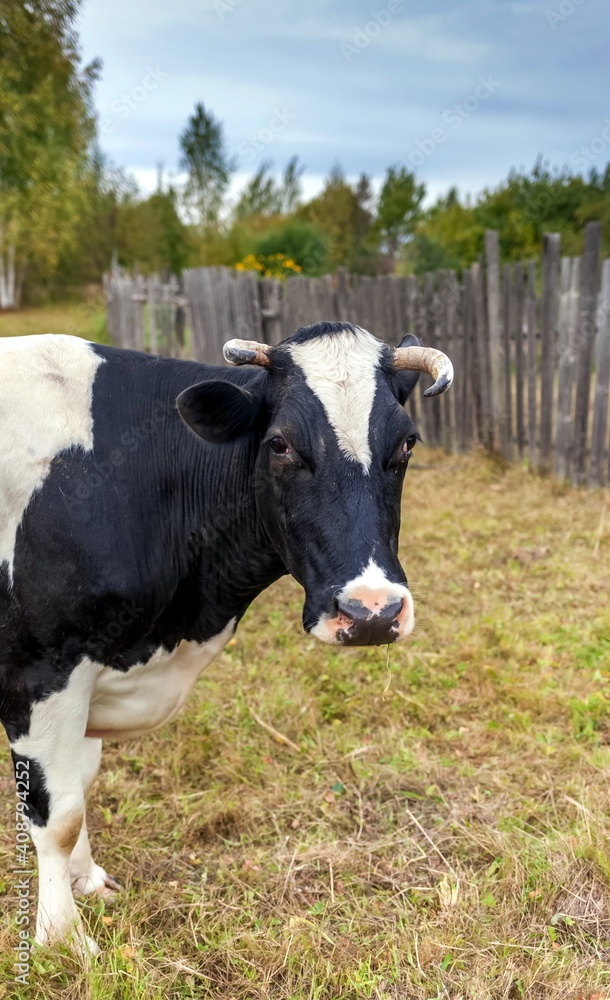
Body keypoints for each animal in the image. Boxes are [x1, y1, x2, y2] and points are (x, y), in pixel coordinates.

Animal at [0, 320, 448, 952]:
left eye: (406, 443)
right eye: (280, 444)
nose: (371, 612)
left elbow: (78, 786)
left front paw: (87, 882)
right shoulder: (40, 667)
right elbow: (55, 813)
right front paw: (62, 940)